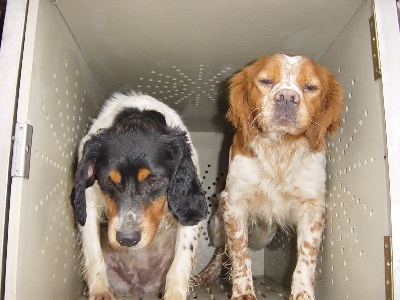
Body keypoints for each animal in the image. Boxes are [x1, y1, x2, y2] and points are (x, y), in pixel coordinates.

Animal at [72, 91, 208, 300]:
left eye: (154, 181)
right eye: (108, 181)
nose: (127, 240)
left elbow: (181, 260)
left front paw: (174, 294)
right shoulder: (89, 202)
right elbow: (93, 252)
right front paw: (100, 291)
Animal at [200, 54, 344, 300]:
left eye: (311, 87)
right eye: (265, 81)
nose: (286, 97)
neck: (280, 147)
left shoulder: (312, 208)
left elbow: (306, 257)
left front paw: (303, 293)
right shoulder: (234, 203)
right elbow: (239, 254)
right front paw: (243, 292)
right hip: (217, 225)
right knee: (221, 249)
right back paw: (206, 273)